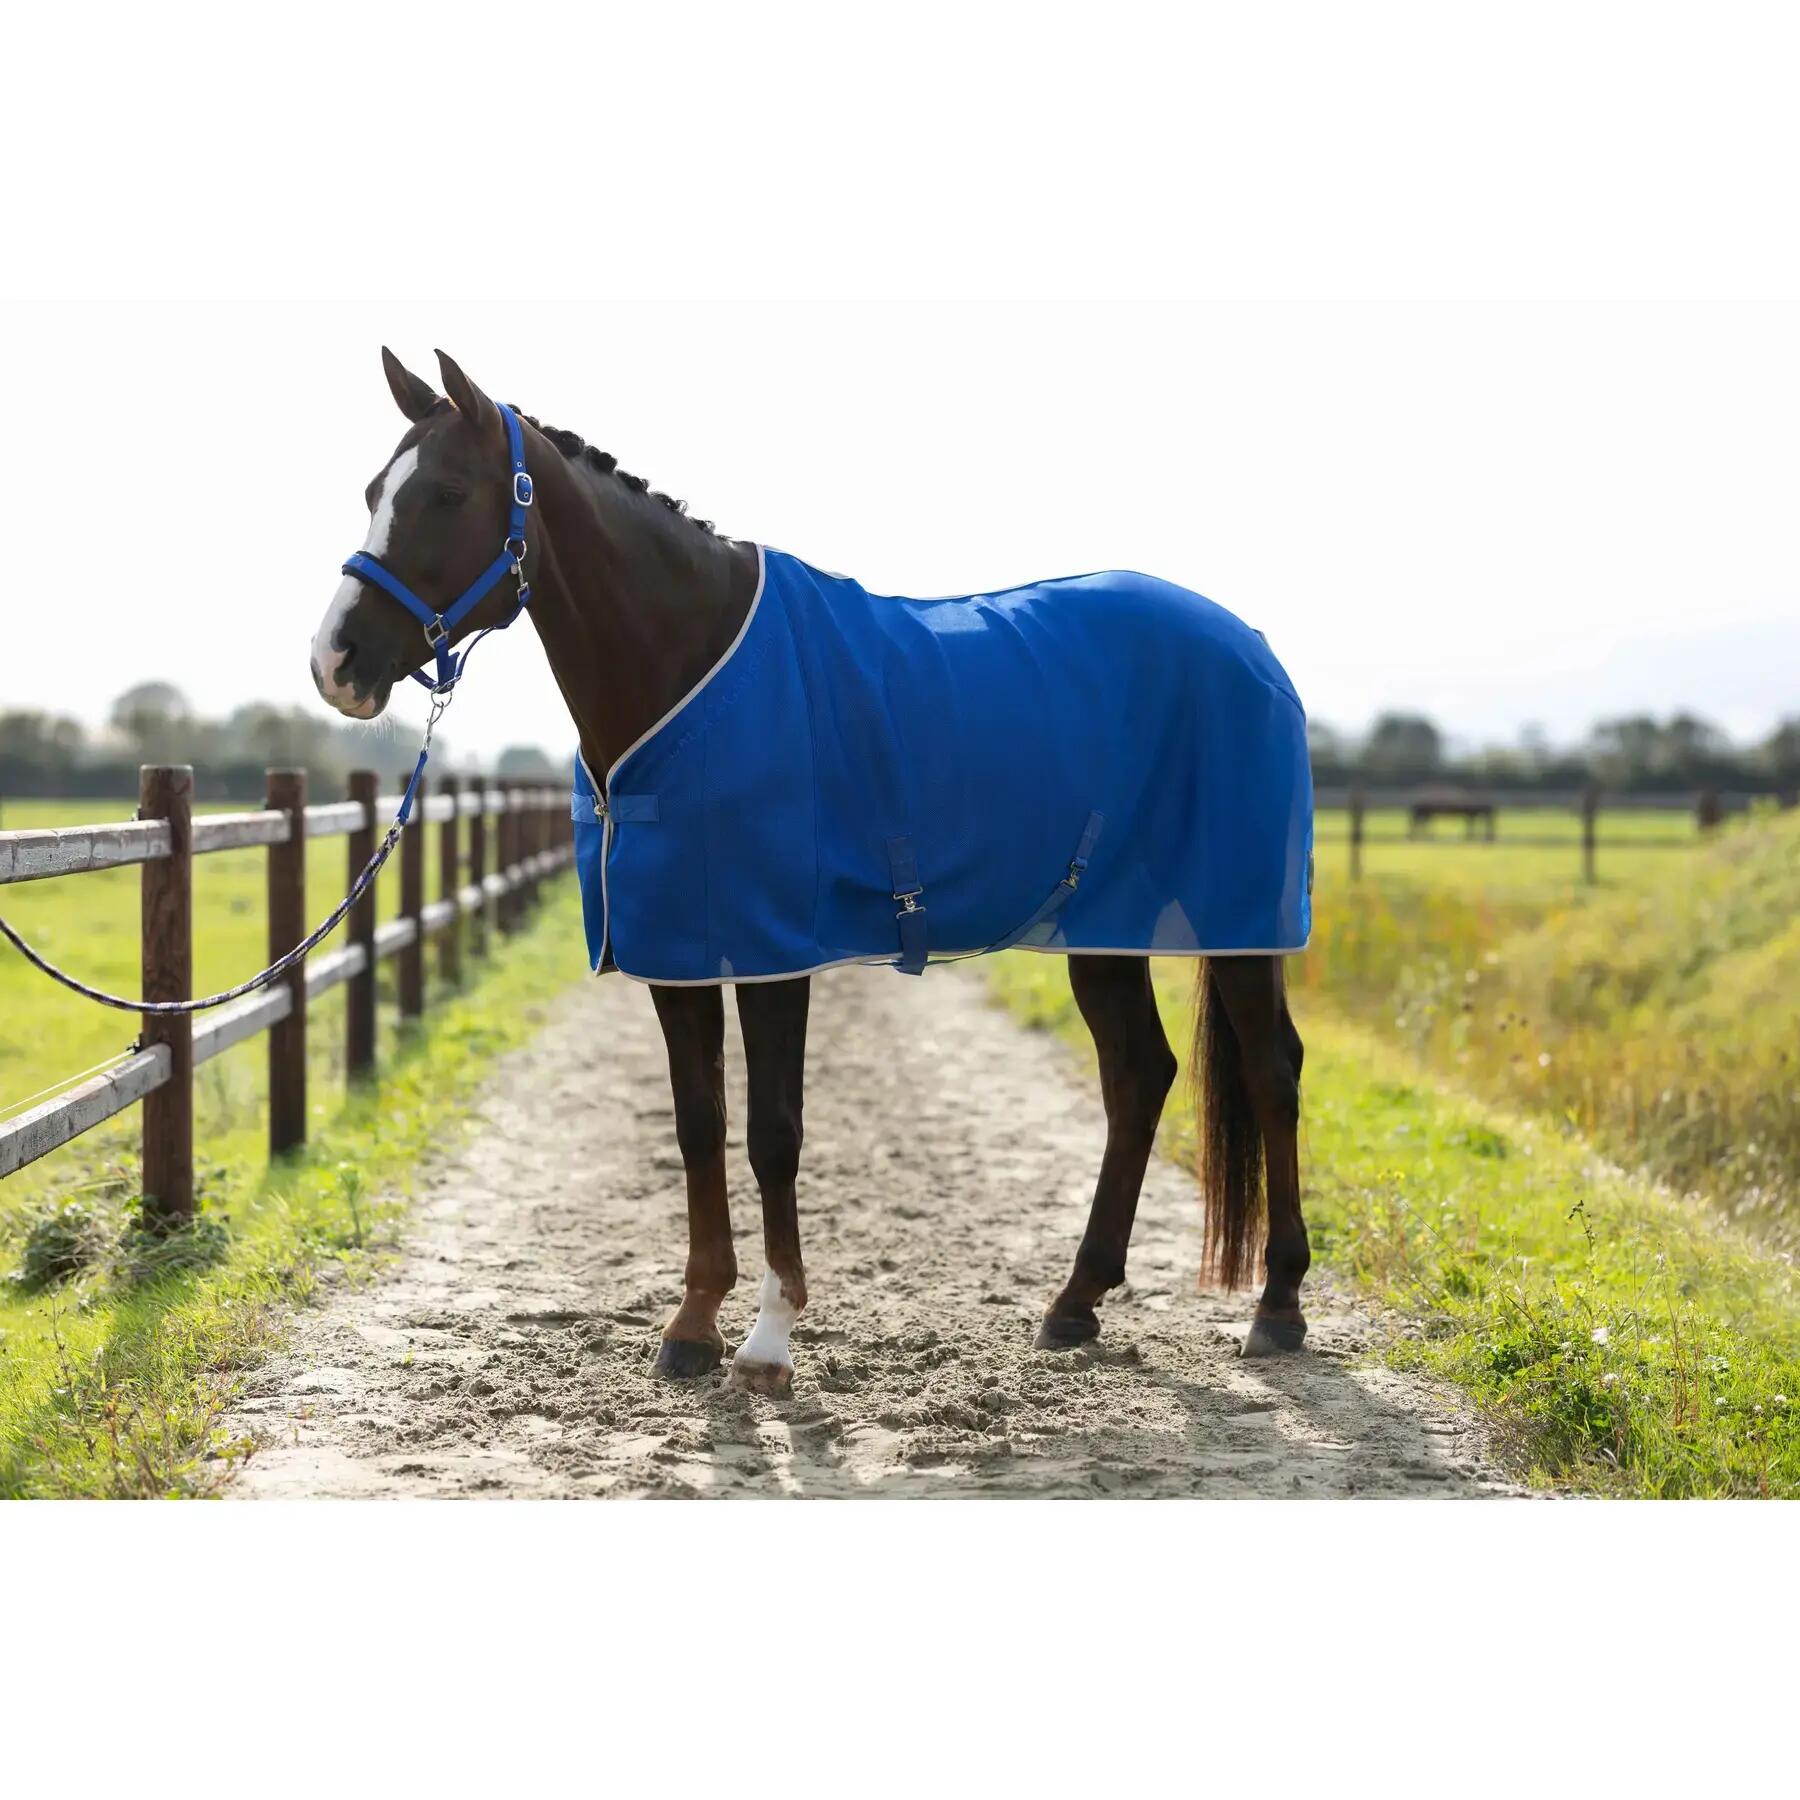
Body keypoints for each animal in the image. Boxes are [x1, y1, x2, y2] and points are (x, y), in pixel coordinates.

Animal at [310, 348, 1313, 1394]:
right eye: (375, 490)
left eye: (448, 494)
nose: (336, 660)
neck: (687, 669)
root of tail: (1252, 647)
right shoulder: (677, 953)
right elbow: (699, 1126)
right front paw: (693, 1326)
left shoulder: (771, 952)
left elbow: (773, 1134)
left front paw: (769, 1338)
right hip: (1101, 928)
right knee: (1138, 1076)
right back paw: (1074, 1303)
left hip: (1241, 924)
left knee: (1272, 1072)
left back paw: (1278, 1308)